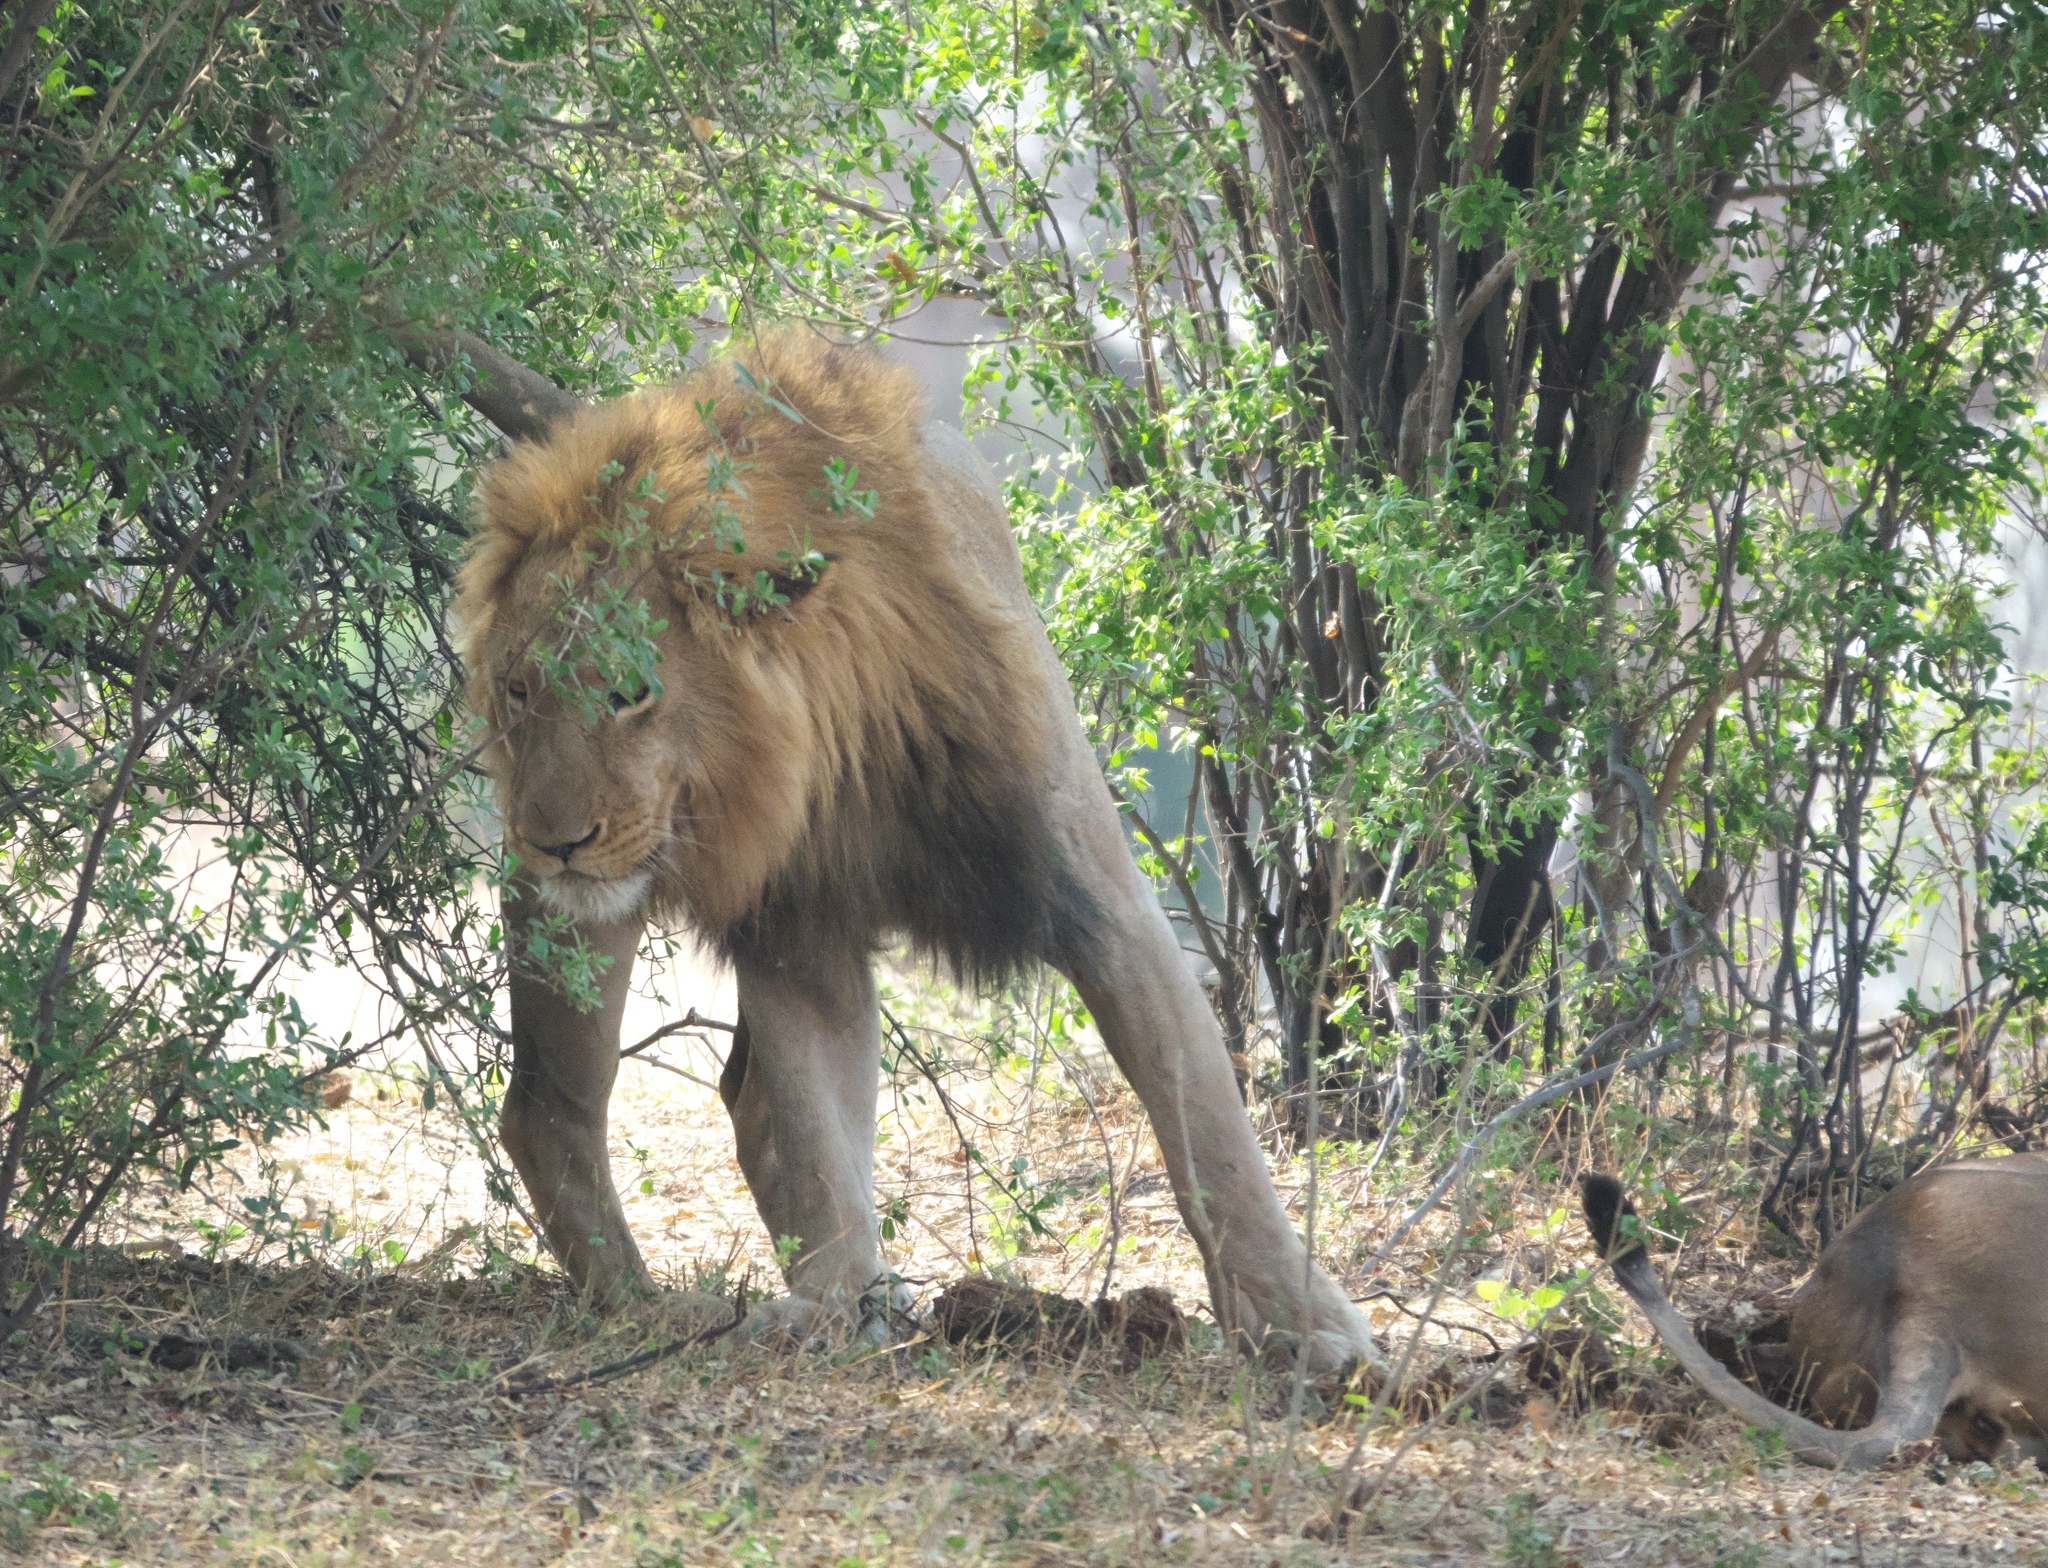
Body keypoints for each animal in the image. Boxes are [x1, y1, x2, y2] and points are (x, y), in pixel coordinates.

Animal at [453, 332, 1379, 1370]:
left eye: (630, 692)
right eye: (520, 689)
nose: (552, 840)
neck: (832, 748)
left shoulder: (1097, 898)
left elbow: (1206, 1123)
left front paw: (1309, 1328)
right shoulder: (796, 934)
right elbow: (816, 1129)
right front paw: (837, 1306)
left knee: (732, 1098)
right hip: (574, 920)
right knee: (551, 1107)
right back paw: (651, 1306)